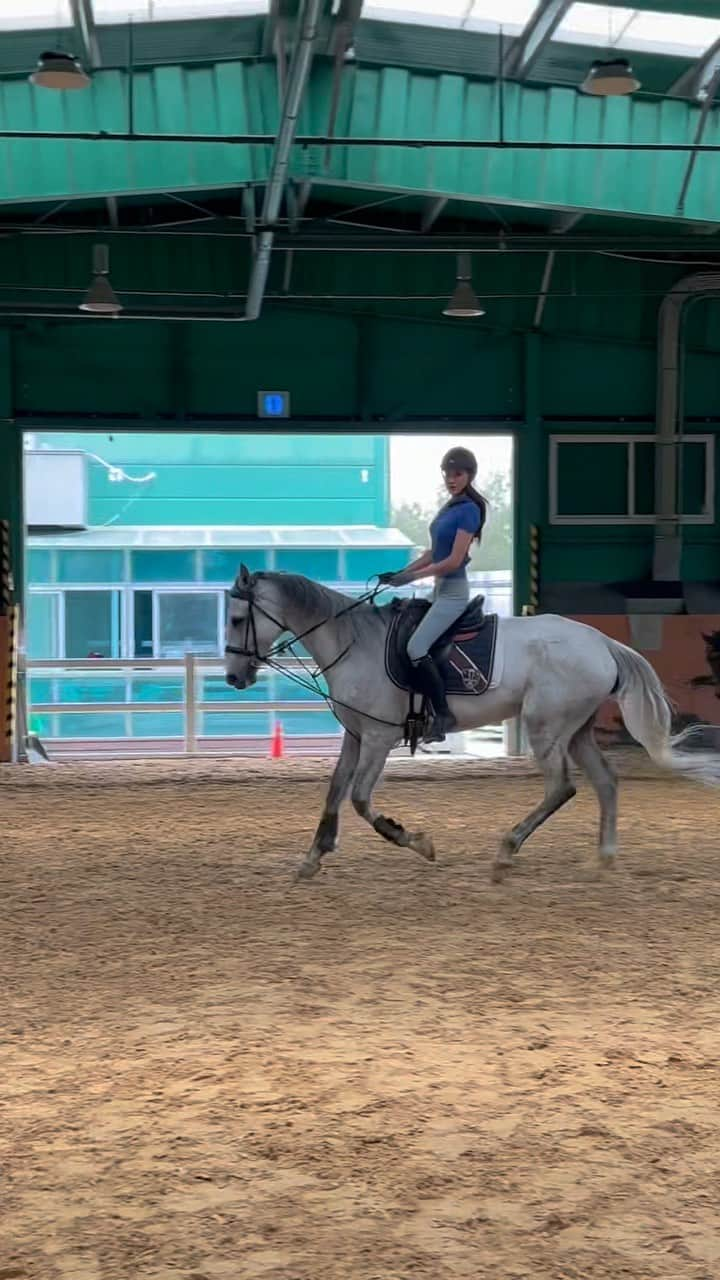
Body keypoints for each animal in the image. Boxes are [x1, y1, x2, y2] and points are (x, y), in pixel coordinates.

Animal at [224, 570, 717, 880]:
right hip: (574, 731)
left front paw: (416, 841)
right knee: (606, 782)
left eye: (236, 618)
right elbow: (334, 791)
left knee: (562, 787)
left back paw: (506, 851)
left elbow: (361, 800)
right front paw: (313, 858)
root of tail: (602, 641)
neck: (353, 643)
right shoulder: (356, 735)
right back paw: (603, 858)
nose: (233, 677)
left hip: (546, 726)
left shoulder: (380, 738)